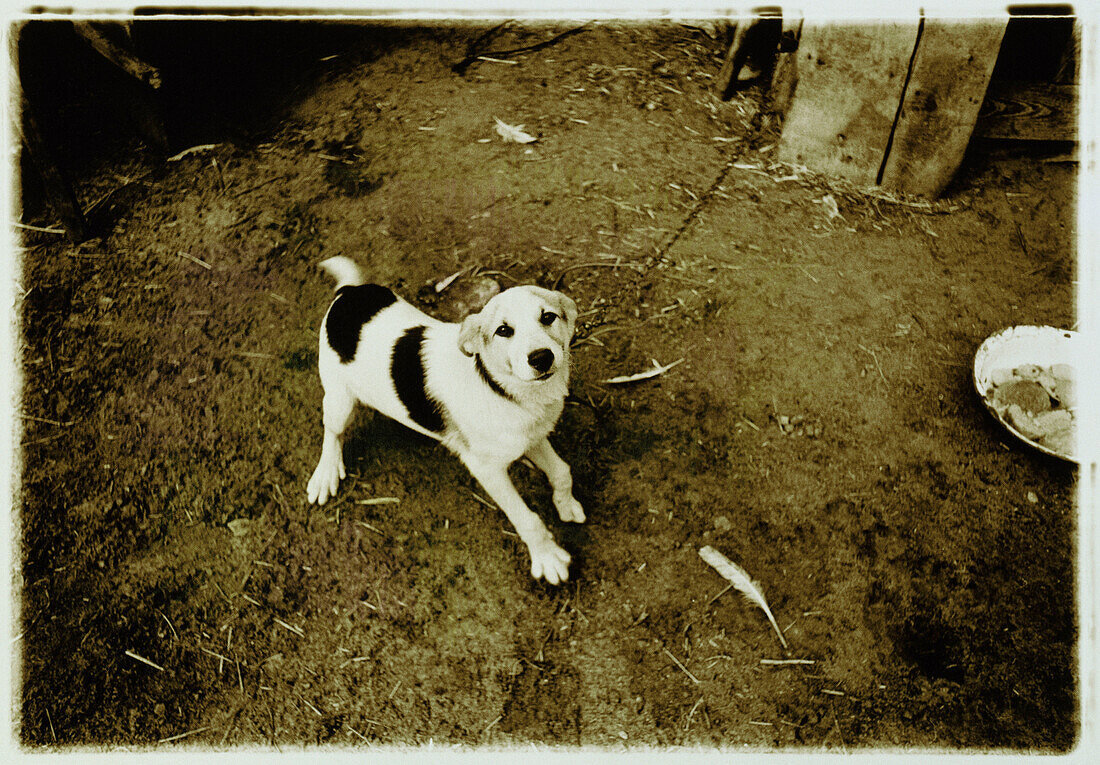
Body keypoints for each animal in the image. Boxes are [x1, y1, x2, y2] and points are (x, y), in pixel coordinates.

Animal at [305, 257, 589, 585]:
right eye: (503, 330)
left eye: (548, 317)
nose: (541, 358)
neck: (499, 386)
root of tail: (349, 293)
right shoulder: (486, 467)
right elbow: (525, 518)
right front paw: (547, 557)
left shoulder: (532, 436)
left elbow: (562, 472)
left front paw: (566, 505)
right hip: (340, 400)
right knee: (332, 431)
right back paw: (326, 473)